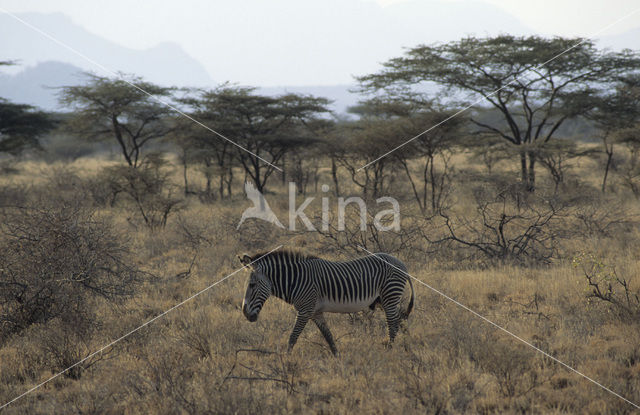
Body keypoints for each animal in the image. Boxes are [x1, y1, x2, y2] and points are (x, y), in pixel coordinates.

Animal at [240, 249, 416, 356]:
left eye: (252, 285)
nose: (245, 314)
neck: (295, 280)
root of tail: (402, 264)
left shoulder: (305, 310)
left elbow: (293, 336)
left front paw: (286, 360)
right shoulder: (315, 312)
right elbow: (328, 336)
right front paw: (337, 357)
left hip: (389, 296)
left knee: (393, 323)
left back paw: (390, 350)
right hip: (384, 300)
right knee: (401, 319)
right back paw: (408, 349)